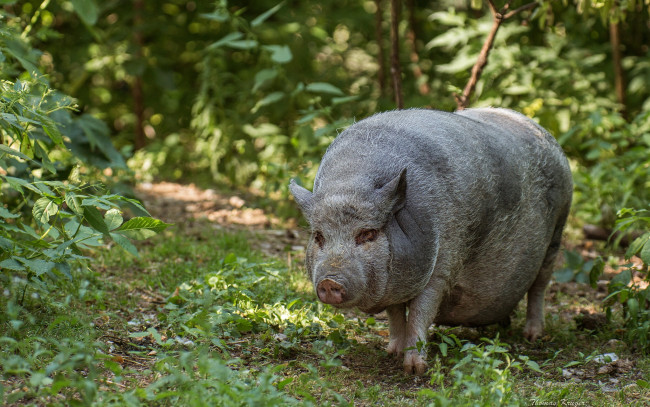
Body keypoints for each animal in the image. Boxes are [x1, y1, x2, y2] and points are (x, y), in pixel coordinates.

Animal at [290, 107, 572, 374]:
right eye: (319, 236)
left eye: (367, 234)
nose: (329, 281)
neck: (351, 185)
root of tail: (545, 134)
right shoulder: (395, 283)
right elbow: (395, 315)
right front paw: (392, 353)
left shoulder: (443, 266)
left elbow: (420, 313)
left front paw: (415, 369)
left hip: (558, 232)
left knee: (539, 286)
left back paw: (533, 335)